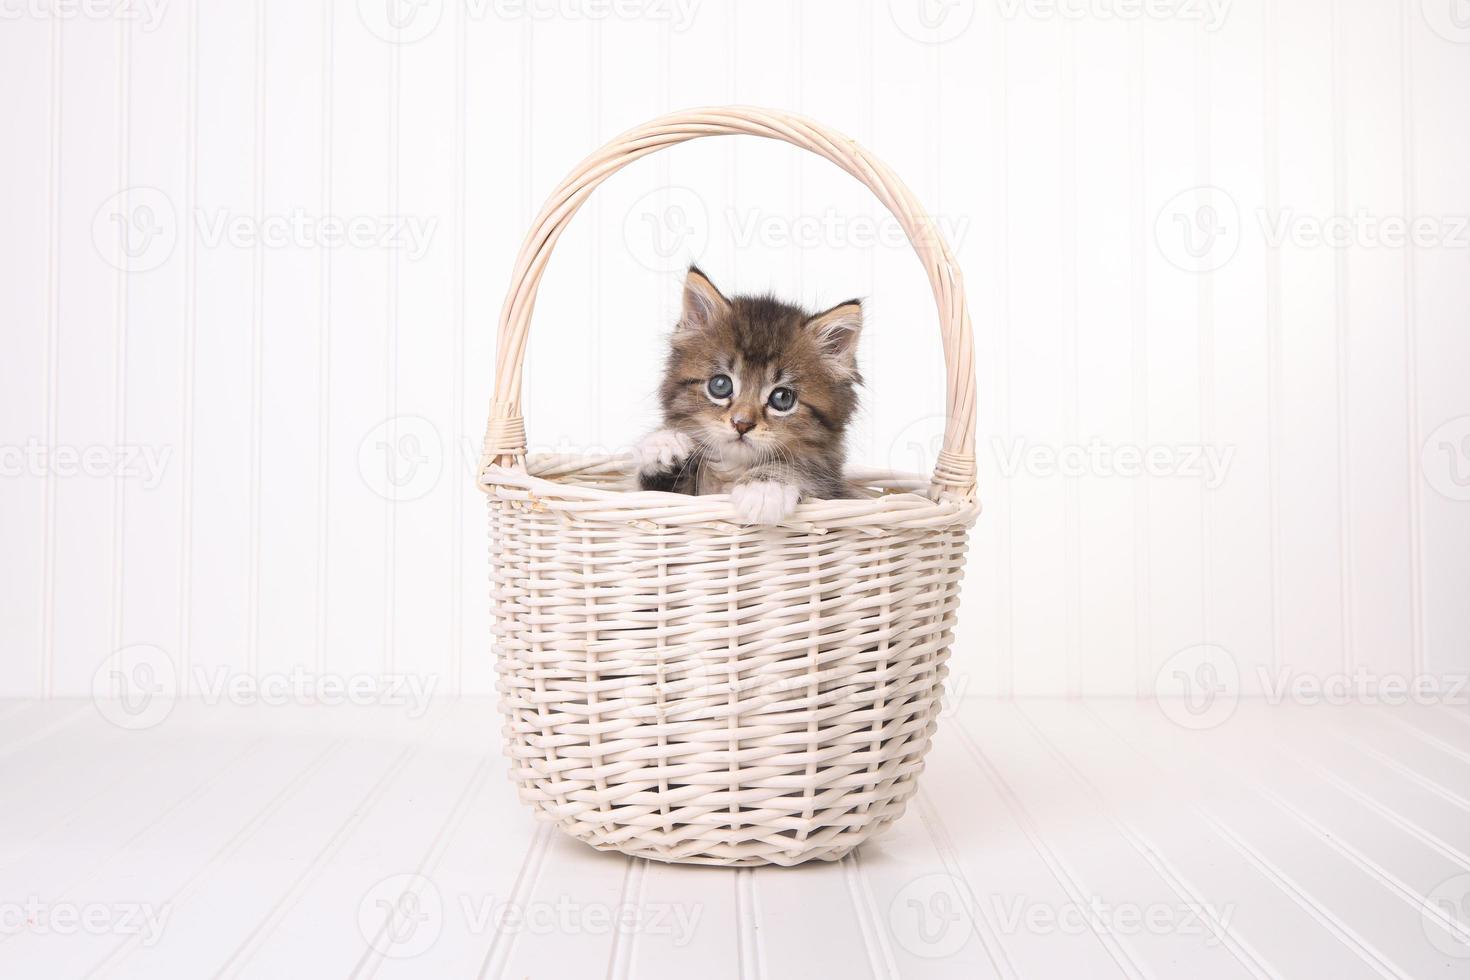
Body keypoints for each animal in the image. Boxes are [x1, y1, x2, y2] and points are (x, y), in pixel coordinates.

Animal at [632, 264, 858, 525]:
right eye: (720, 385)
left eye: (782, 398)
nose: (741, 424)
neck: (733, 469)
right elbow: (654, 493)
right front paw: (662, 442)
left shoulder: (830, 486)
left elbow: (799, 469)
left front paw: (764, 488)